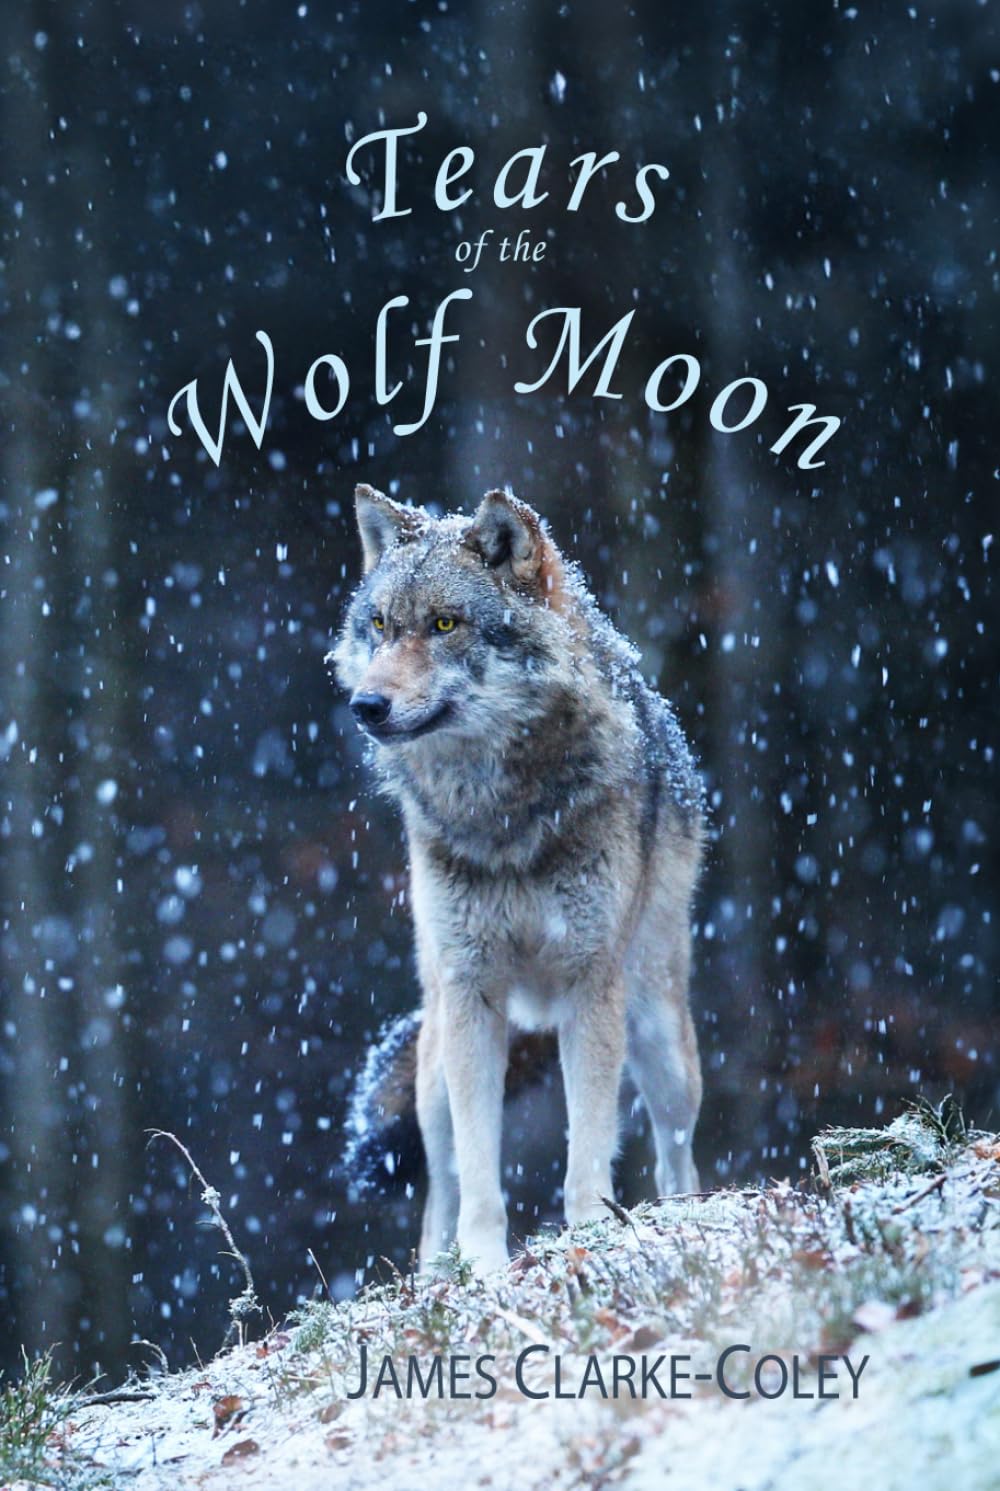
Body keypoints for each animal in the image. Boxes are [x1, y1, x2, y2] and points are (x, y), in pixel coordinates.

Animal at [331, 485, 705, 1273]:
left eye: (445, 623)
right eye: (379, 625)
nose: (366, 705)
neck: (500, 814)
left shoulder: (589, 985)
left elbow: (587, 1146)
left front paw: (591, 1233)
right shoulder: (472, 995)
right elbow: (479, 1169)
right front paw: (483, 1265)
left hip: (659, 1037)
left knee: (674, 1149)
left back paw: (685, 1214)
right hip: (434, 1066)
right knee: (438, 1189)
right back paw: (434, 1272)